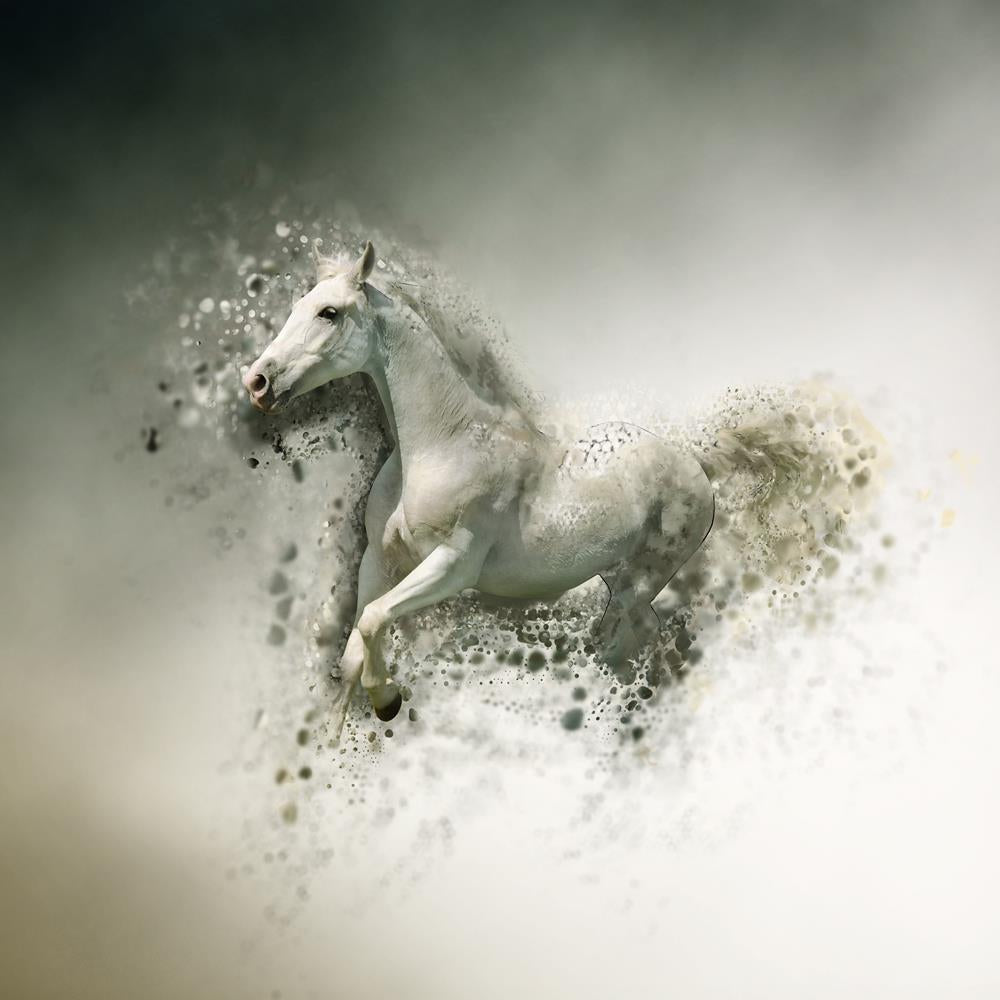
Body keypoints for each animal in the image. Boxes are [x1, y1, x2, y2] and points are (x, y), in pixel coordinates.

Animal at [243, 241, 715, 735]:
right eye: (297, 305)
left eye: (329, 312)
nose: (257, 382)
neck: (442, 444)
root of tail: (694, 466)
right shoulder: (378, 560)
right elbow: (352, 652)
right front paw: (335, 739)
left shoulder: (453, 565)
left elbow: (372, 620)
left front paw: (387, 700)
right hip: (617, 574)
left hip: (641, 580)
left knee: (627, 635)